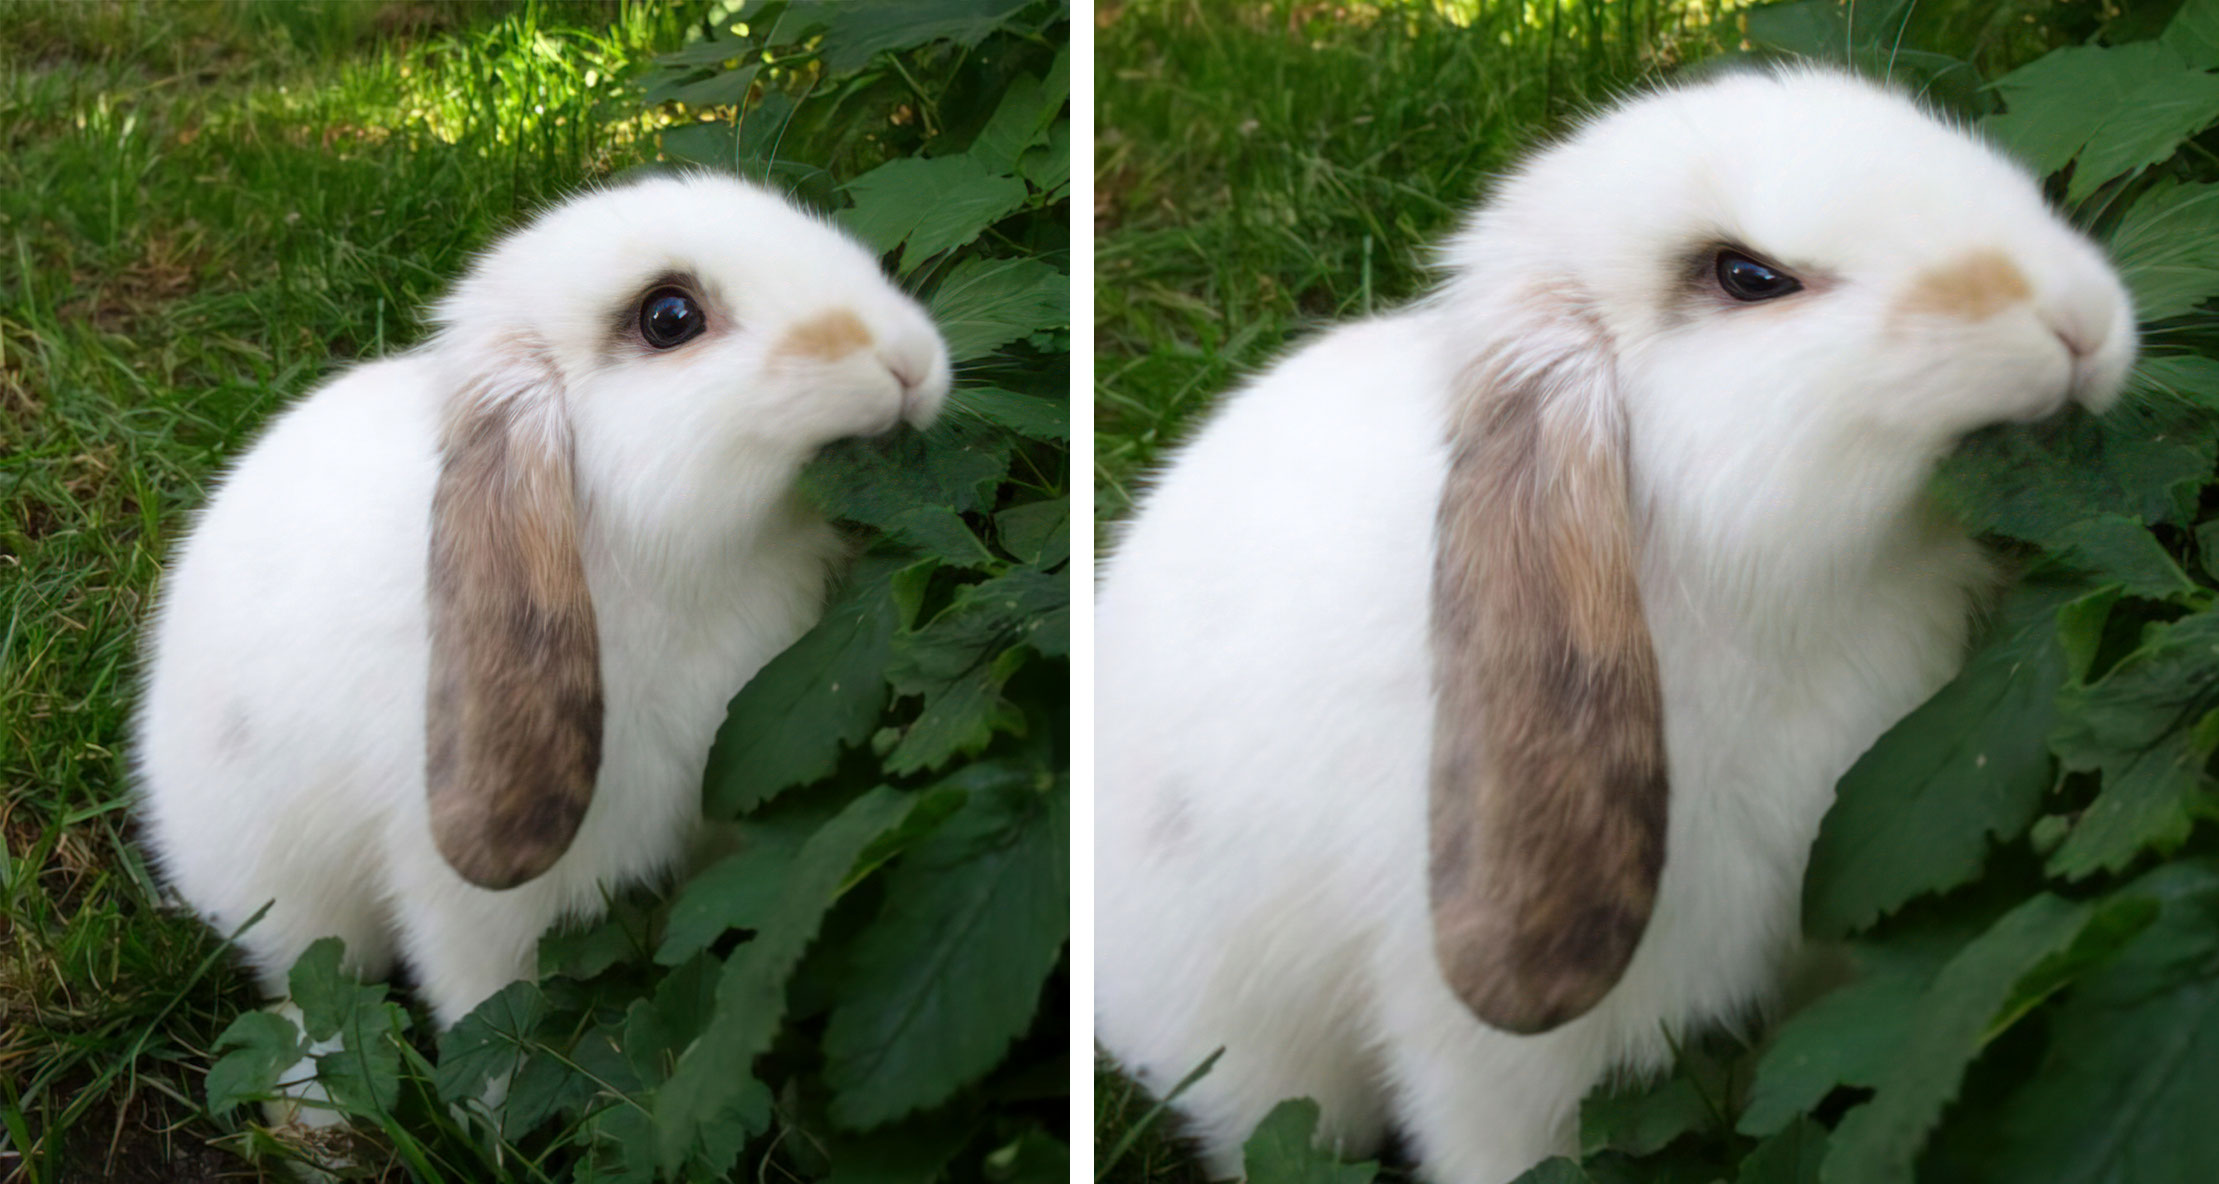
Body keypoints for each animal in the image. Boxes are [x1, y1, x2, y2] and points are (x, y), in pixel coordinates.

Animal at [136, 171, 952, 1048]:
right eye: (669, 318)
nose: (909, 360)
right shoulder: (469, 904)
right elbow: (488, 1011)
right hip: (292, 898)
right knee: (309, 984)